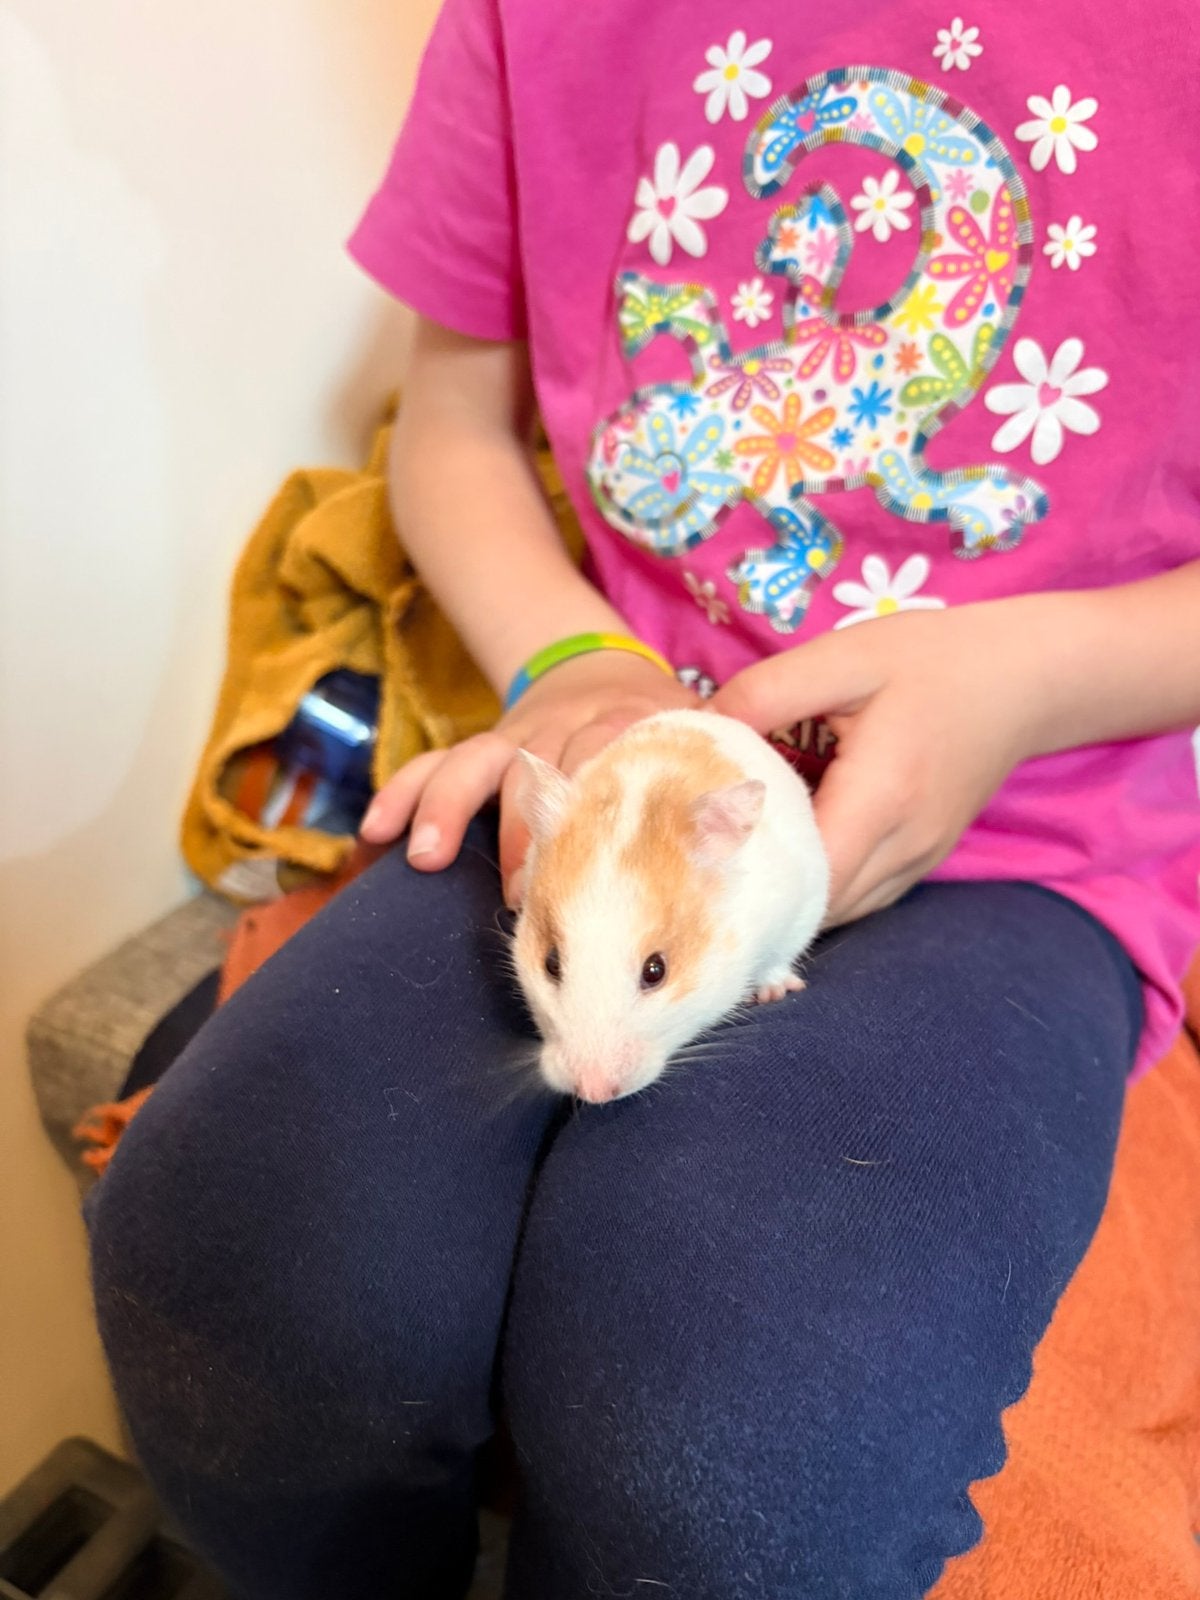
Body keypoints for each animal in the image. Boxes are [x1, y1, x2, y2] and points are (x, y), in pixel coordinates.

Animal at [512, 708, 829, 1103]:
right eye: (551, 963)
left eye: (655, 971)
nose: (594, 1093)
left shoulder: (800, 904)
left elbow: (779, 959)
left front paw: (775, 992)